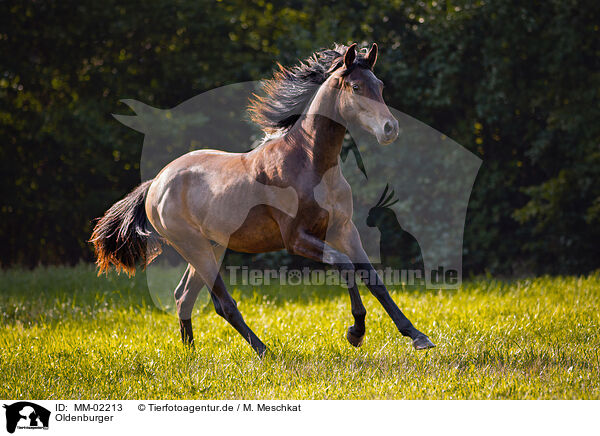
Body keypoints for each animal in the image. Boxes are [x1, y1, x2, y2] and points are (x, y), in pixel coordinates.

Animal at [91, 43, 434, 358]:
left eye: (380, 85)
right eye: (356, 87)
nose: (390, 128)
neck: (309, 163)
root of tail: (156, 184)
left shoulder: (344, 229)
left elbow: (374, 279)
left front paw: (417, 336)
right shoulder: (296, 239)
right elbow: (346, 266)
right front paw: (356, 332)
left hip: (212, 246)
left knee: (183, 297)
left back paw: (191, 355)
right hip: (194, 246)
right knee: (223, 304)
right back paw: (263, 350)